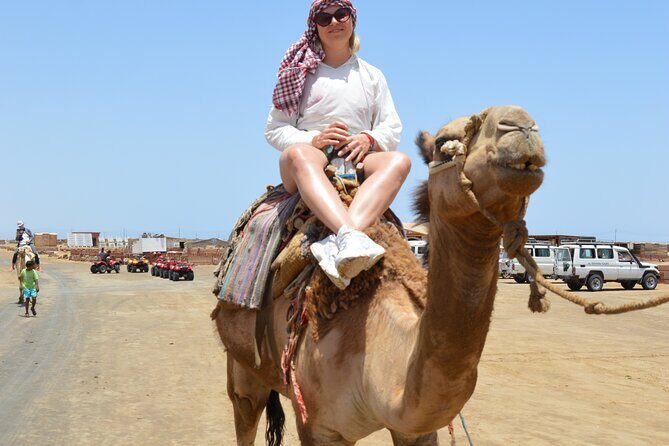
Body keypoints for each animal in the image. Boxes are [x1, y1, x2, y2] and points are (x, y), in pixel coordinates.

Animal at [212, 105, 546, 445]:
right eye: (443, 143)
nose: (521, 125)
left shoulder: (415, 429)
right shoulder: (318, 426)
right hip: (241, 363)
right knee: (246, 409)